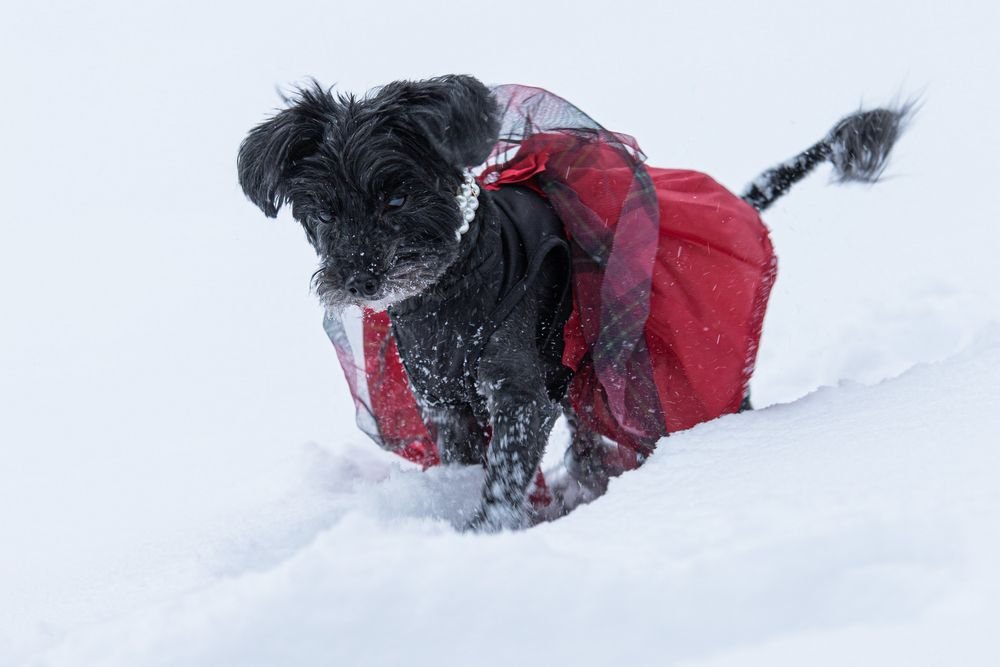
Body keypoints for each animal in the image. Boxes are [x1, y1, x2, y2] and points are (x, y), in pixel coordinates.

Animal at [238, 74, 912, 532]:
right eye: (324, 213)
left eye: (397, 200)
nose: (359, 278)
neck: (450, 290)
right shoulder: (445, 405)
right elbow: (471, 463)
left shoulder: (518, 394)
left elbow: (504, 474)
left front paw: (485, 534)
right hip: (584, 378)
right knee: (590, 440)